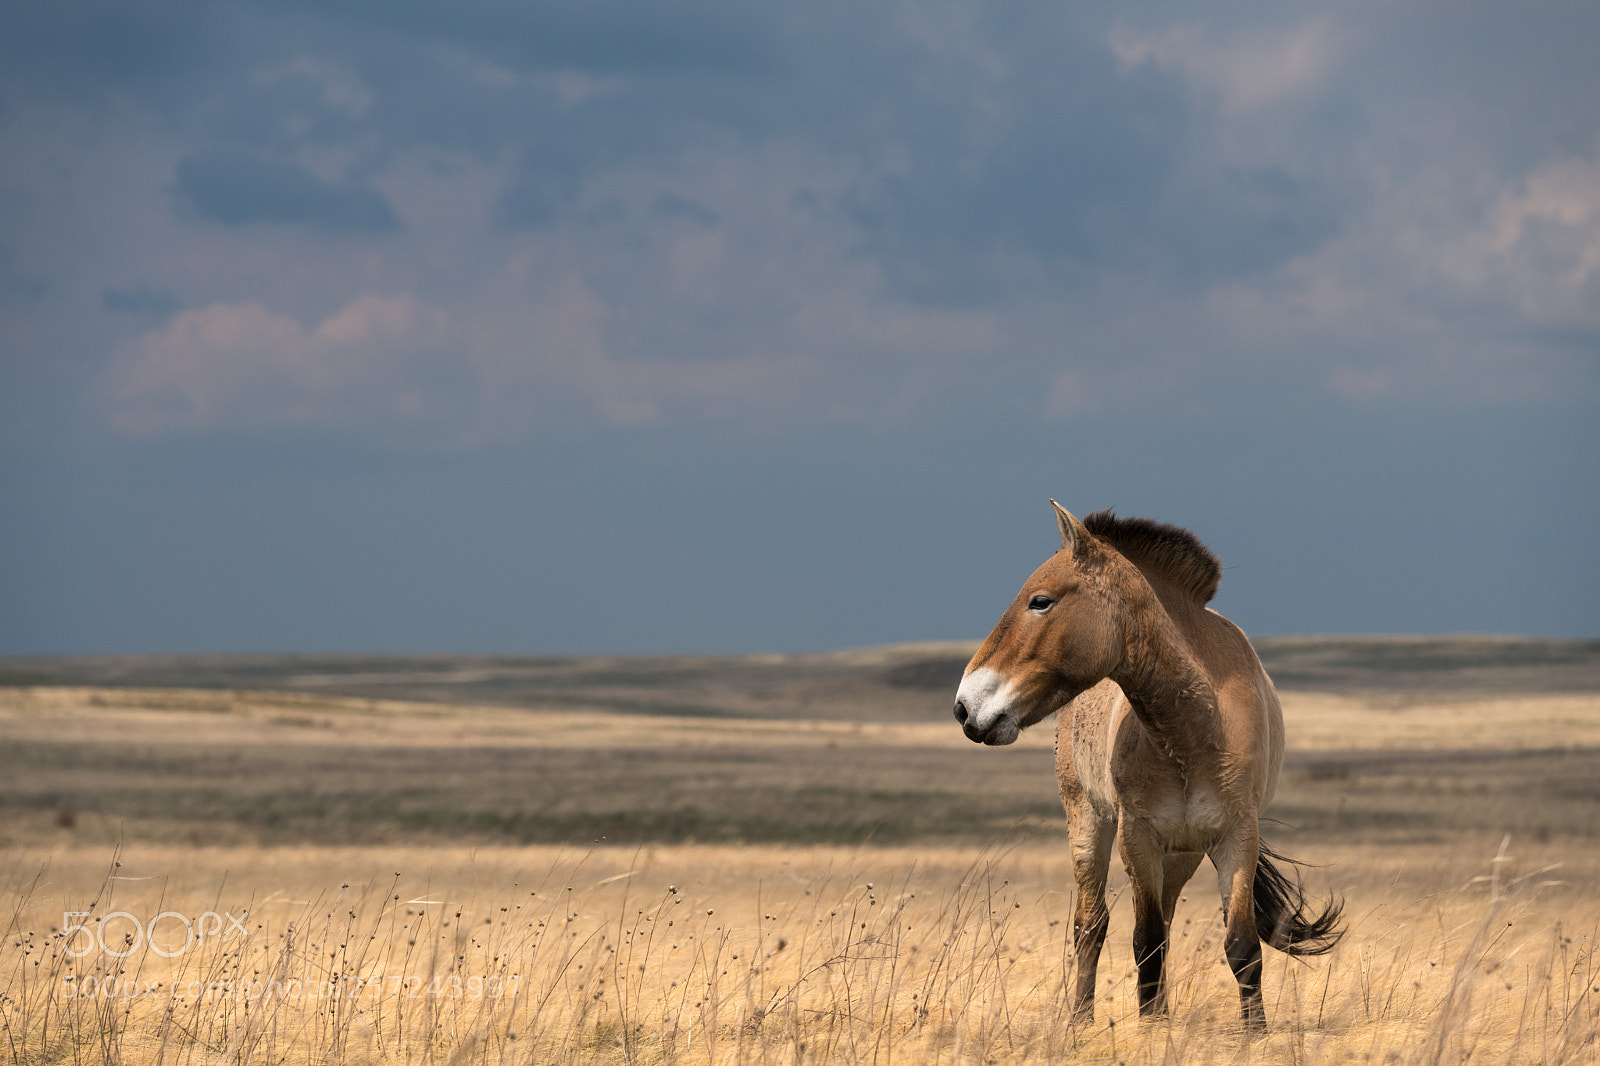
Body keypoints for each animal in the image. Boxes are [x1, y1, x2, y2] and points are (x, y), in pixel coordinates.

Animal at [953, 501, 1342, 1028]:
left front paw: (1254, 1033)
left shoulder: (1236, 836)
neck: (1193, 731)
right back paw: (1081, 1021)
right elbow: (1145, 942)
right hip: (1089, 824)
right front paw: (1152, 1029)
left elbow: (1241, 946)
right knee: (1090, 926)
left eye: (1040, 601)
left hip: (1183, 855)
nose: (965, 707)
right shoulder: (1136, 838)